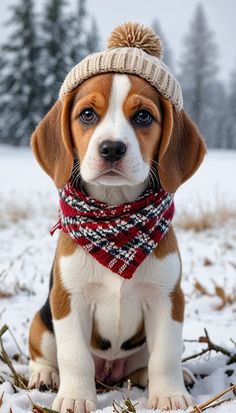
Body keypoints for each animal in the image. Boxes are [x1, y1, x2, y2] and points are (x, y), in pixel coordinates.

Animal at [27, 71, 205, 412]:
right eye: (87, 114)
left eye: (144, 116)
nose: (111, 148)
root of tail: (109, 373)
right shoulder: (68, 299)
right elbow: (75, 357)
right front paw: (75, 397)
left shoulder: (167, 298)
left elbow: (166, 355)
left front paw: (170, 395)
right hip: (42, 323)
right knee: (44, 355)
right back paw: (45, 375)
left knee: (144, 364)